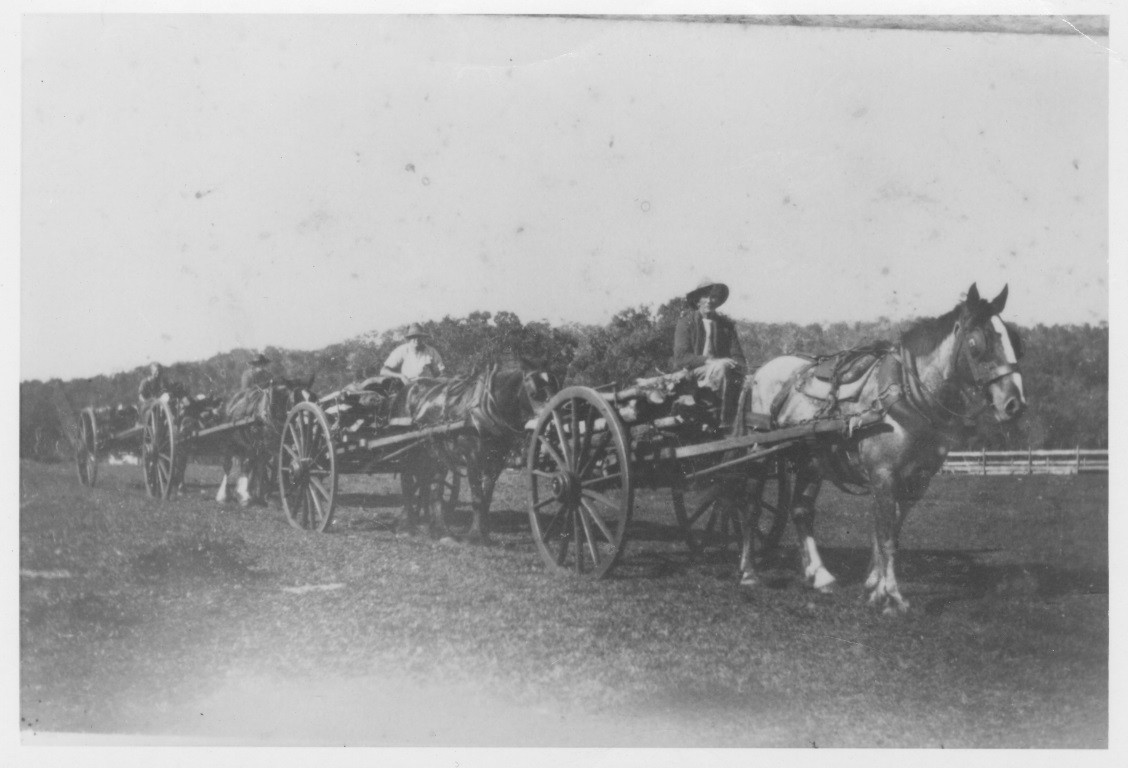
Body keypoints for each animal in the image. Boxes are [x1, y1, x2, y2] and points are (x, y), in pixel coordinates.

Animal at [214, 374, 318, 505]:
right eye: (295, 399)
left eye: (313, 398)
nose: (308, 424)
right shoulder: (270, 447)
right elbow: (274, 468)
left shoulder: (283, 446)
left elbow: (278, 467)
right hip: (230, 443)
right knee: (228, 466)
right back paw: (225, 495)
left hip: (250, 446)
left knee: (250, 464)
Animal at [392, 363, 559, 539]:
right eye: (535, 394)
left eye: (556, 387)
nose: (553, 423)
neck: (487, 409)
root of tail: (407, 388)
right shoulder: (473, 458)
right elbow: (477, 497)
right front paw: (476, 535)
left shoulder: (496, 461)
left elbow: (487, 497)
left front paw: (484, 531)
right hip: (408, 452)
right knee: (408, 481)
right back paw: (406, 526)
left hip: (434, 453)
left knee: (431, 485)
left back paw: (438, 529)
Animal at [739, 284, 1024, 613]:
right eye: (977, 343)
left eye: (1016, 340)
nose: (1014, 404)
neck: (908, 397)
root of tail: (759, 372)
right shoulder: (884, 475)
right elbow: (885, 536)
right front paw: (892, 596)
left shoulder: (917, 482)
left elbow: (889, 534)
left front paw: (874, 586)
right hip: (759, 454)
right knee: (750, 506)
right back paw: (748, 572)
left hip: (811, 460)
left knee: (801, 510)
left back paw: (819, 575)